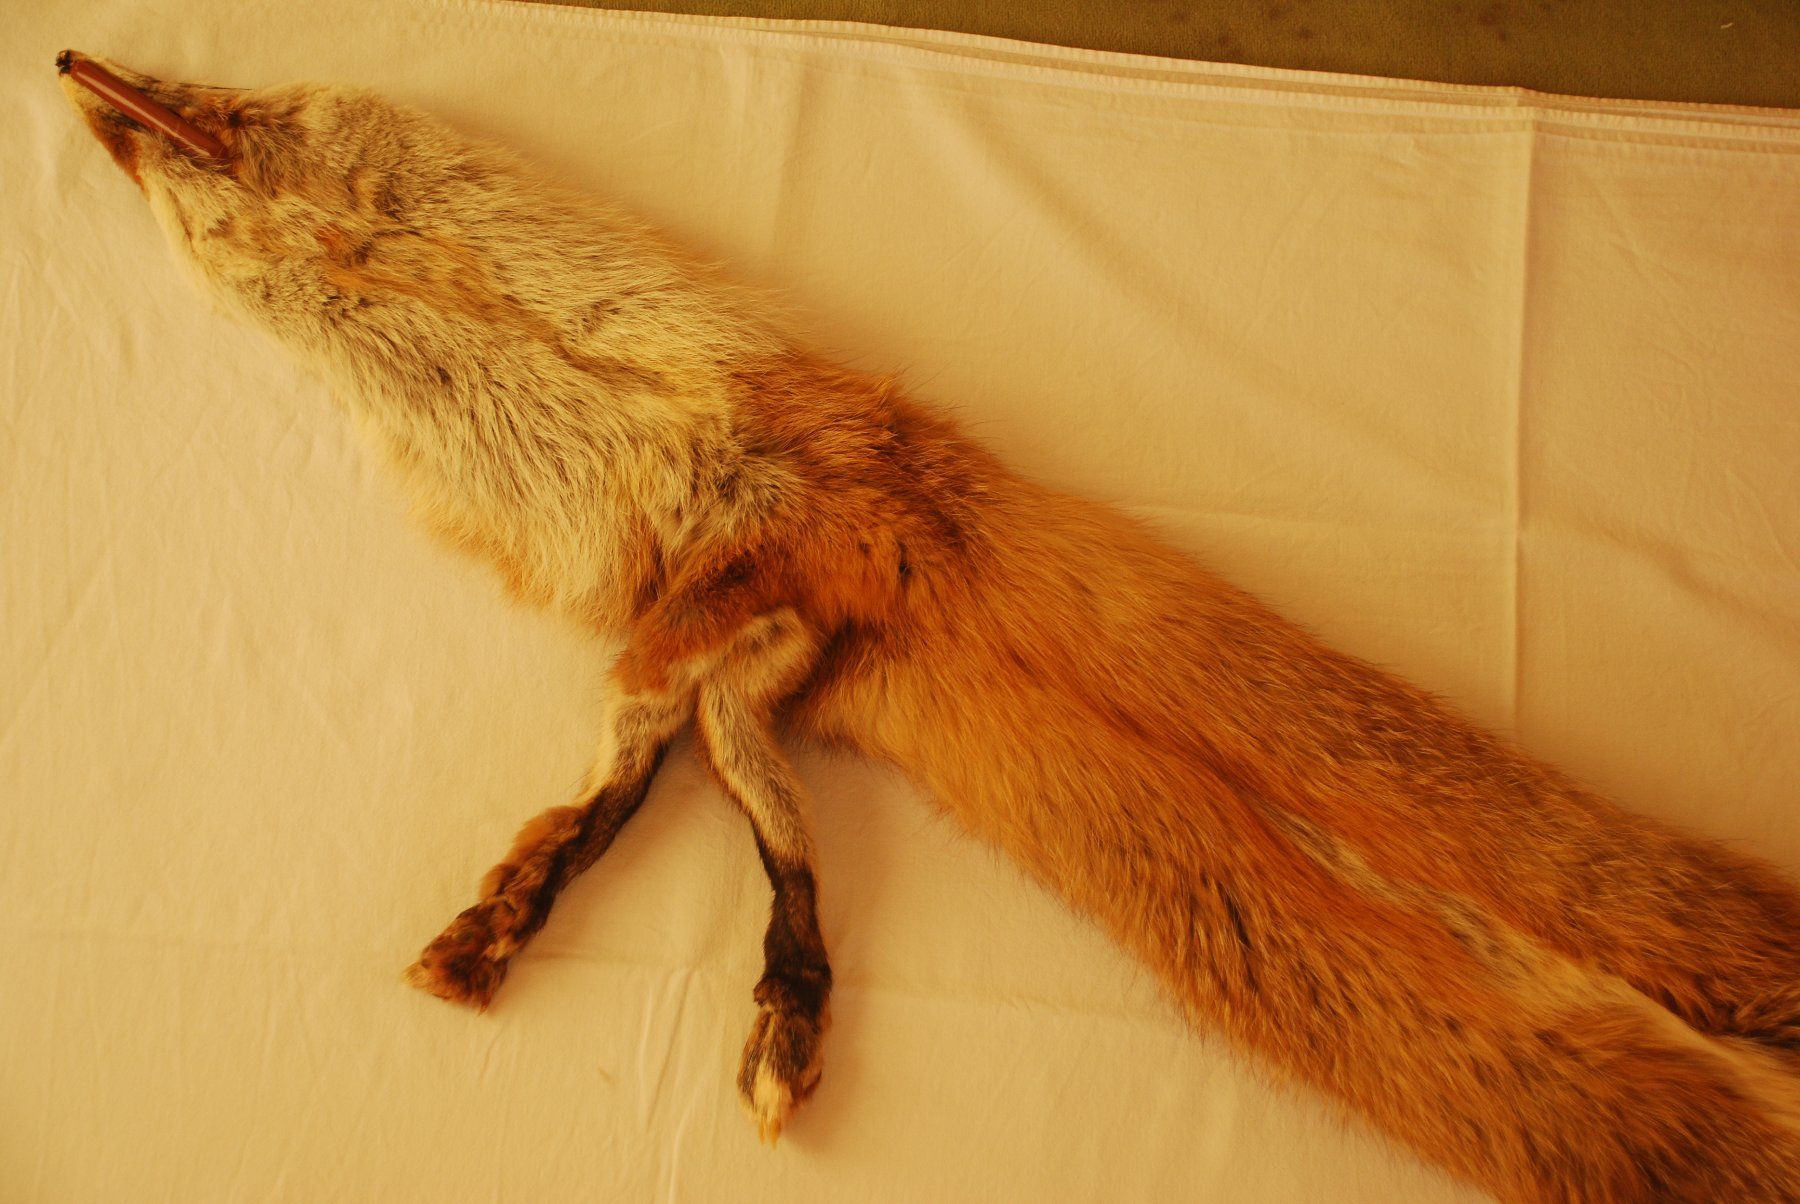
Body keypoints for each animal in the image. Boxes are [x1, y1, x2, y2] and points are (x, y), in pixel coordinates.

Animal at [58, 50, 1800, 1202]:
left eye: (232, 112)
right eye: (183, 138)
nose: (86, 73)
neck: (370, 246)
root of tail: (899, 572)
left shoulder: (722, 500)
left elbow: (662, 734)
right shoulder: (720, 609)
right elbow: (675, 767)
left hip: (915, 592)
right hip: (943, 686)